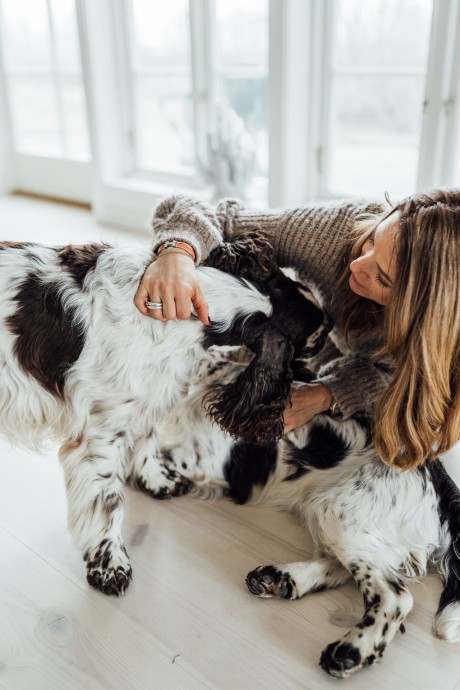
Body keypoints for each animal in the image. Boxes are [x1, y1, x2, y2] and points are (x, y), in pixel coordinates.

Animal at [0, 234, 330, 592]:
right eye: (316, 336)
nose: (331, 331)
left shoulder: (152, 395)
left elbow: (148, 438)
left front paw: (156, 480)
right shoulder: (101, 434)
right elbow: (108, 501)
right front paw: (109, 564)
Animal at [146, 302, 460, 676]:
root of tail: (437, 475)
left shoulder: (205, 458)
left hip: (339, 512)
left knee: (393, 595)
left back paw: (352, 649)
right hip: (327, 509)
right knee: (344, 566)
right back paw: (281, 578)